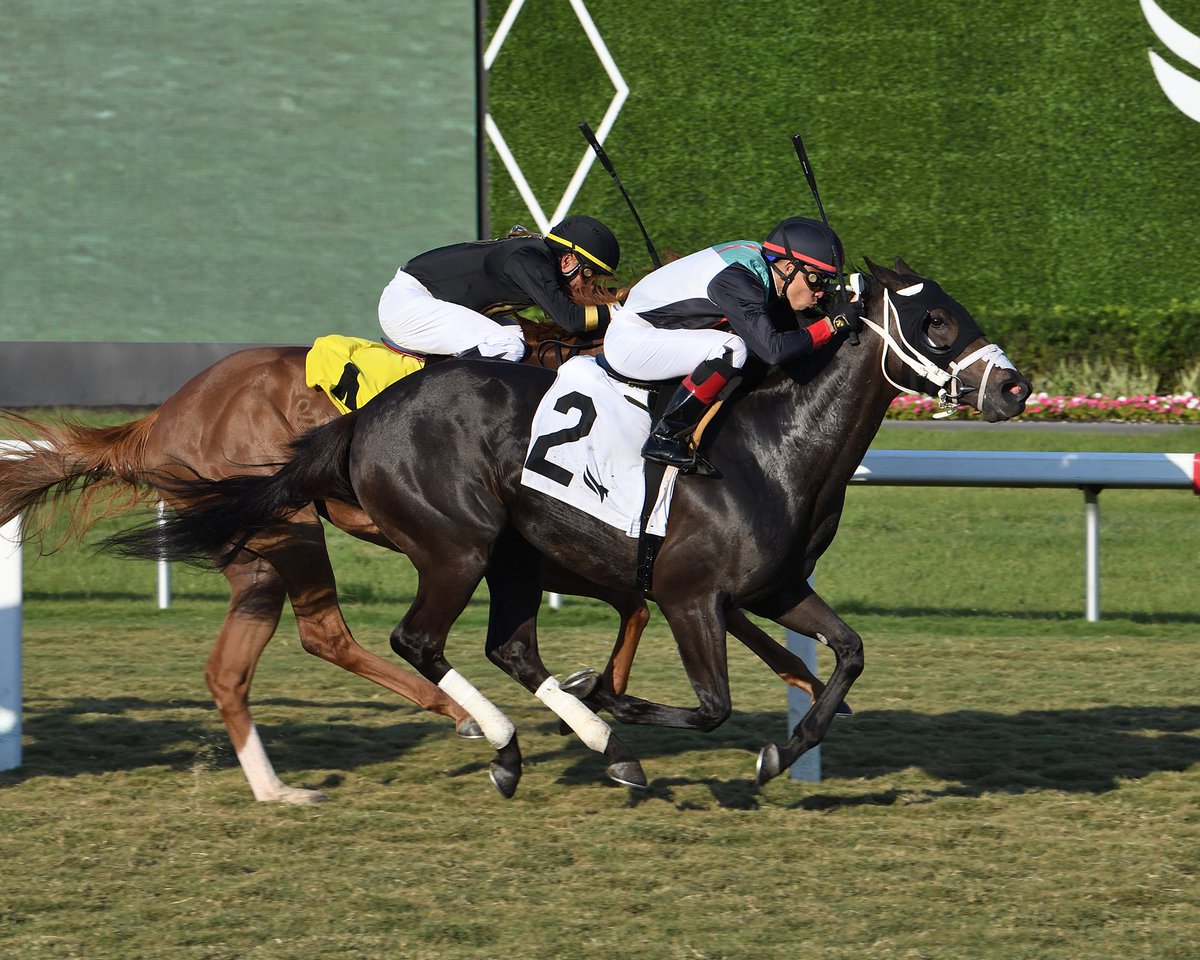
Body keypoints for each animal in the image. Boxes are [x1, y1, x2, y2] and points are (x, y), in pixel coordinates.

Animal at [110, 256, 1032, 796]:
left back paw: (588, 743)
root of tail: (366, 415)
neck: (772, 446)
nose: (1016, 387)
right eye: (936, 321)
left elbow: (845, 657)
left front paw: (785, 748)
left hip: (509, 557)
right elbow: (711, 705)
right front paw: (617, 700)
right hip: (456, 544)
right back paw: (516, 741)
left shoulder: (774, 588)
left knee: (508, 646)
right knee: (417, 641)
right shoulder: (690, 595)